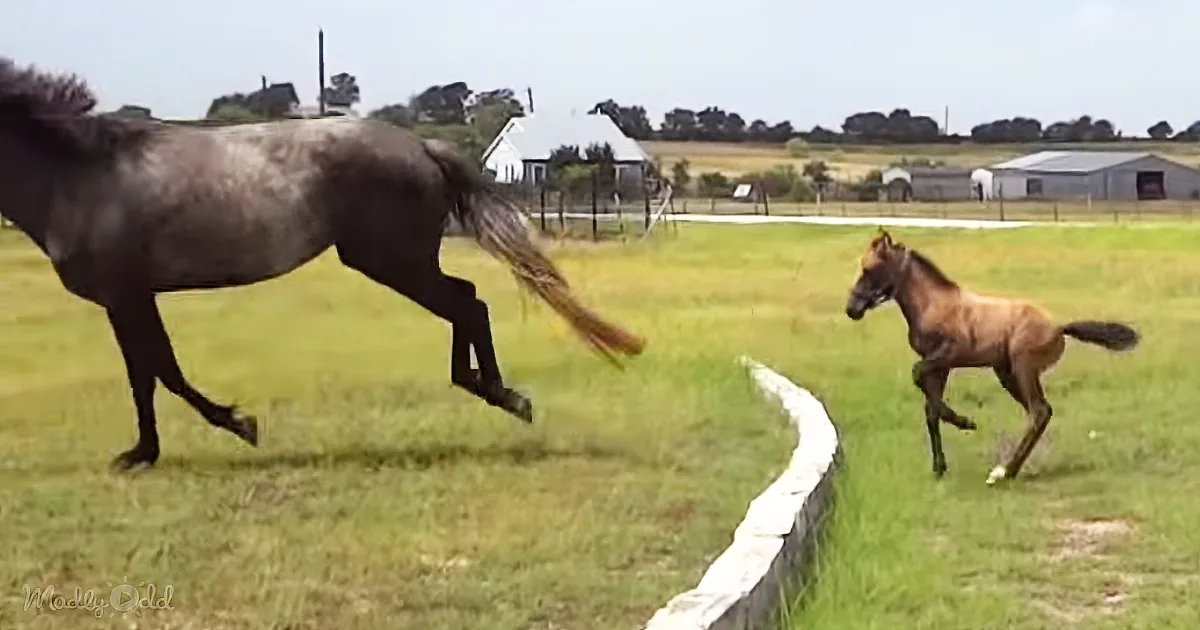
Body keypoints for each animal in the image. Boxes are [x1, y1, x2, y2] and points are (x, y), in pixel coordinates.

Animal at [0, 58, 645, 471]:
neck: (81, 176)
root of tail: (420, 146)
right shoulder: (129, 297)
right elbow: (151, 371)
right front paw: (146, 451)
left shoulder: (128, 292)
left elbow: (160, 371)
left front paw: (230, 427)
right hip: (397, 260)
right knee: (466, 298)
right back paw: (488, 389)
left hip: (390, 260)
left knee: (468, 302)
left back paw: (503, 395)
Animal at [844, 229, 1139, 485]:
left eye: (869, 269)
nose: (851, 309)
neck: (933, 303)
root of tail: (1058, 328)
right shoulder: (940, 365)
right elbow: (930, 409)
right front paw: (940, 465)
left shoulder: (948, 354)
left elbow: (918, 376)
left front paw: (966, 422)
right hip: (1006, 373)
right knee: (1039, 412)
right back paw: (1009, 469)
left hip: (1022, 368)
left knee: (1039, 411)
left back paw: (1006, 471)